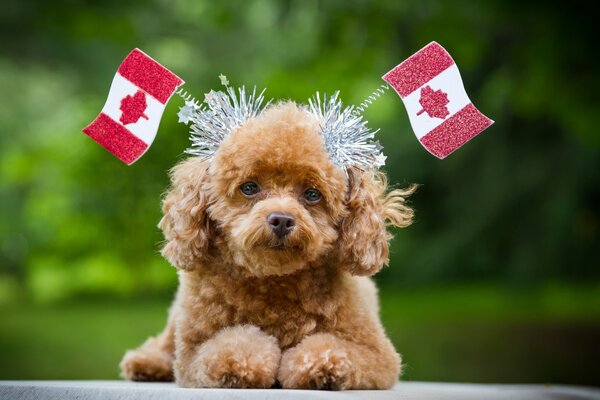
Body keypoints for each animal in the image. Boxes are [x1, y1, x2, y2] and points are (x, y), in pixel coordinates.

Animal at [119, 101, 414, 390]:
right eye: (249, 187)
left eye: (312, 194)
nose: (282, 220)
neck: (274, 280)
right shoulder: (192, 352)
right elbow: (228, 347)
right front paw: (240, 365)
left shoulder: (378, 353)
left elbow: (333, 349)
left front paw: (319, 366)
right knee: (165, 342)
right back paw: (147, 363)